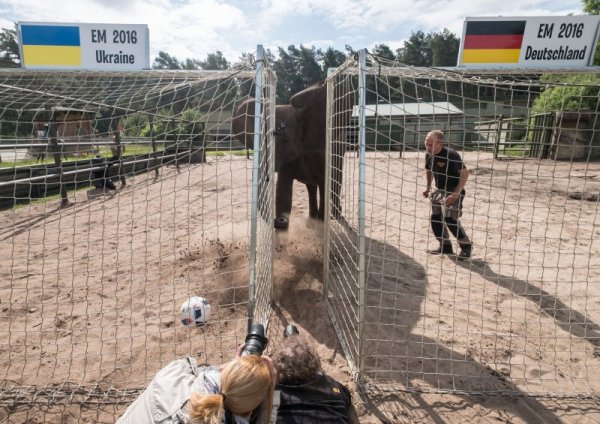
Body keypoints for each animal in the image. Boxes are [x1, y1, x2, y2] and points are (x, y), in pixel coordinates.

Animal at [230, 81, 344, 230]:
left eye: (285, 139)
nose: (280, 219)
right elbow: (283, 189)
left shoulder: (321, 150)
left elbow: (325, 184)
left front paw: (320, 227)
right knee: (311, 186)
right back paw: (311, 221)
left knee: (335, 179)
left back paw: (334, 216)